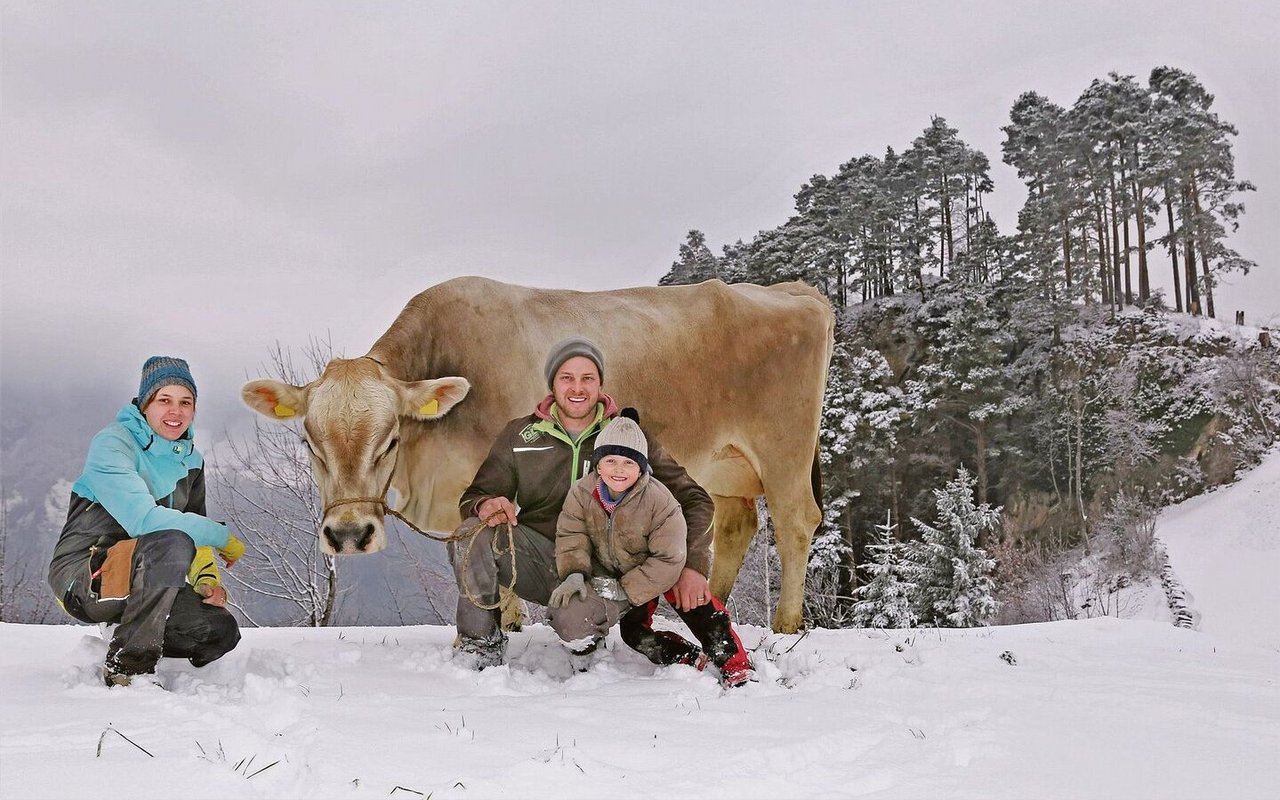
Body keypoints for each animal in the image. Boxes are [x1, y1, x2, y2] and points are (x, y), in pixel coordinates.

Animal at [243, 276, 834, 629]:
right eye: (309, 441)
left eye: (389, 439)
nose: (348, 535)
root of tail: (791, 290)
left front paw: (506, 630)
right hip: (726, 464)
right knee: (736, 525)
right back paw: (716, 604)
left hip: (783, 447)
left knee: (795, 521)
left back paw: (784, 628)